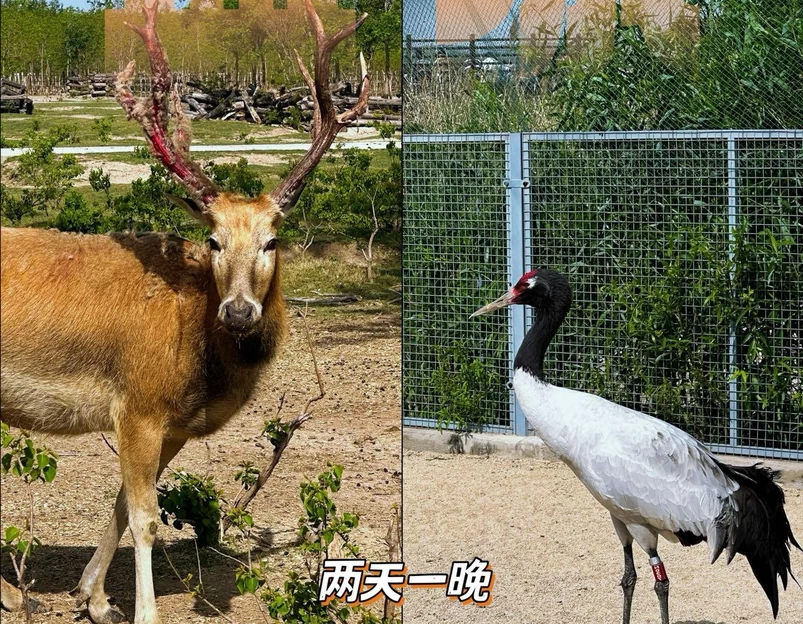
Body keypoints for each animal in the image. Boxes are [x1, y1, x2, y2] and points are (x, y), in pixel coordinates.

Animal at [0, 1, 369, 622]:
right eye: (214, 239)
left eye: (272, 240)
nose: (240, 312)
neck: (201, 370)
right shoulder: (138, 405)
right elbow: (146, 520)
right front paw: (139, 610)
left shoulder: (168, 426)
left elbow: (121, 507)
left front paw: (93, 596)